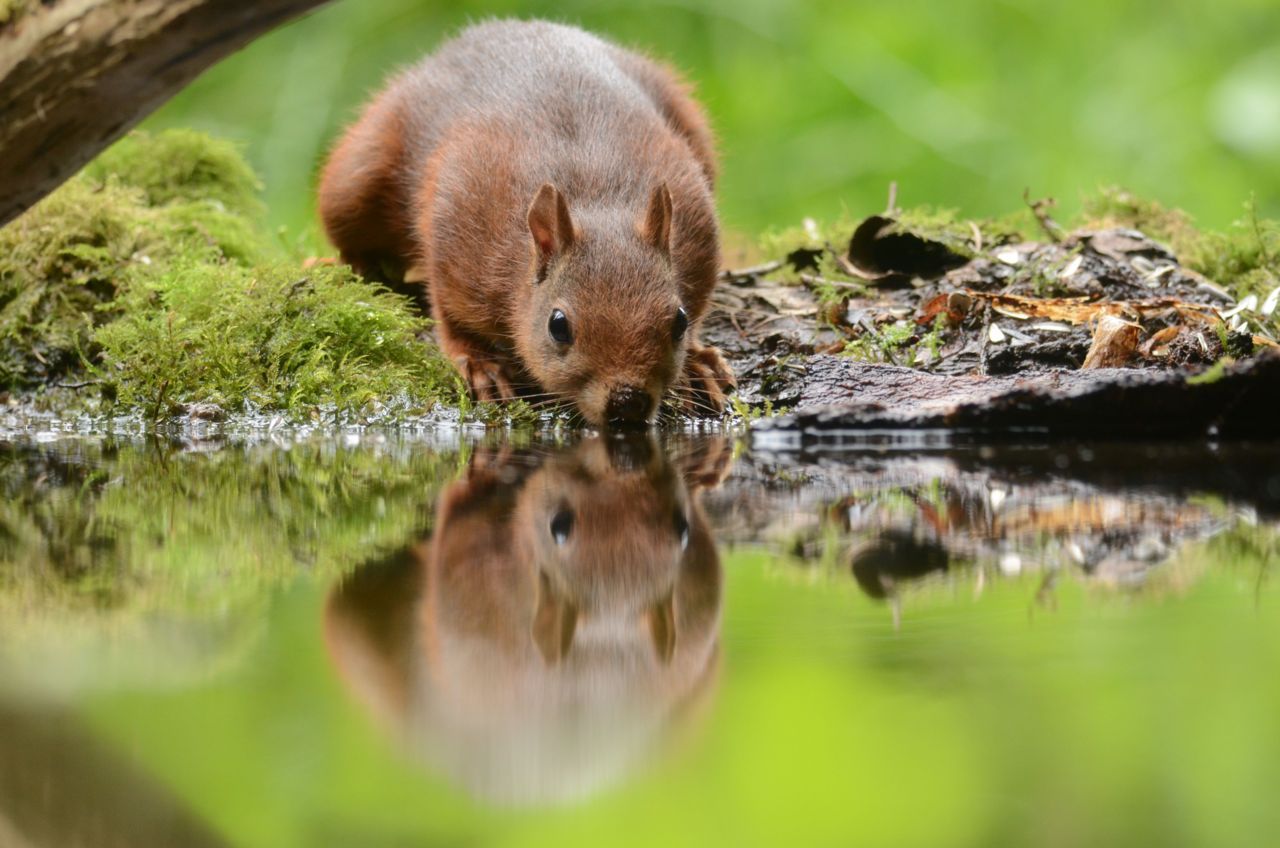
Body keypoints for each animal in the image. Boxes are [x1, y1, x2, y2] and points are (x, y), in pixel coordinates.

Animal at [316, 19, 737, 427]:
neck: (596, 200)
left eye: (679, 321)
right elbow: (451, 317)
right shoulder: (458, 242)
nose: (628, 402)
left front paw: (696, 364)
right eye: (558, 326)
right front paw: (480, 365)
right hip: (356, 180)